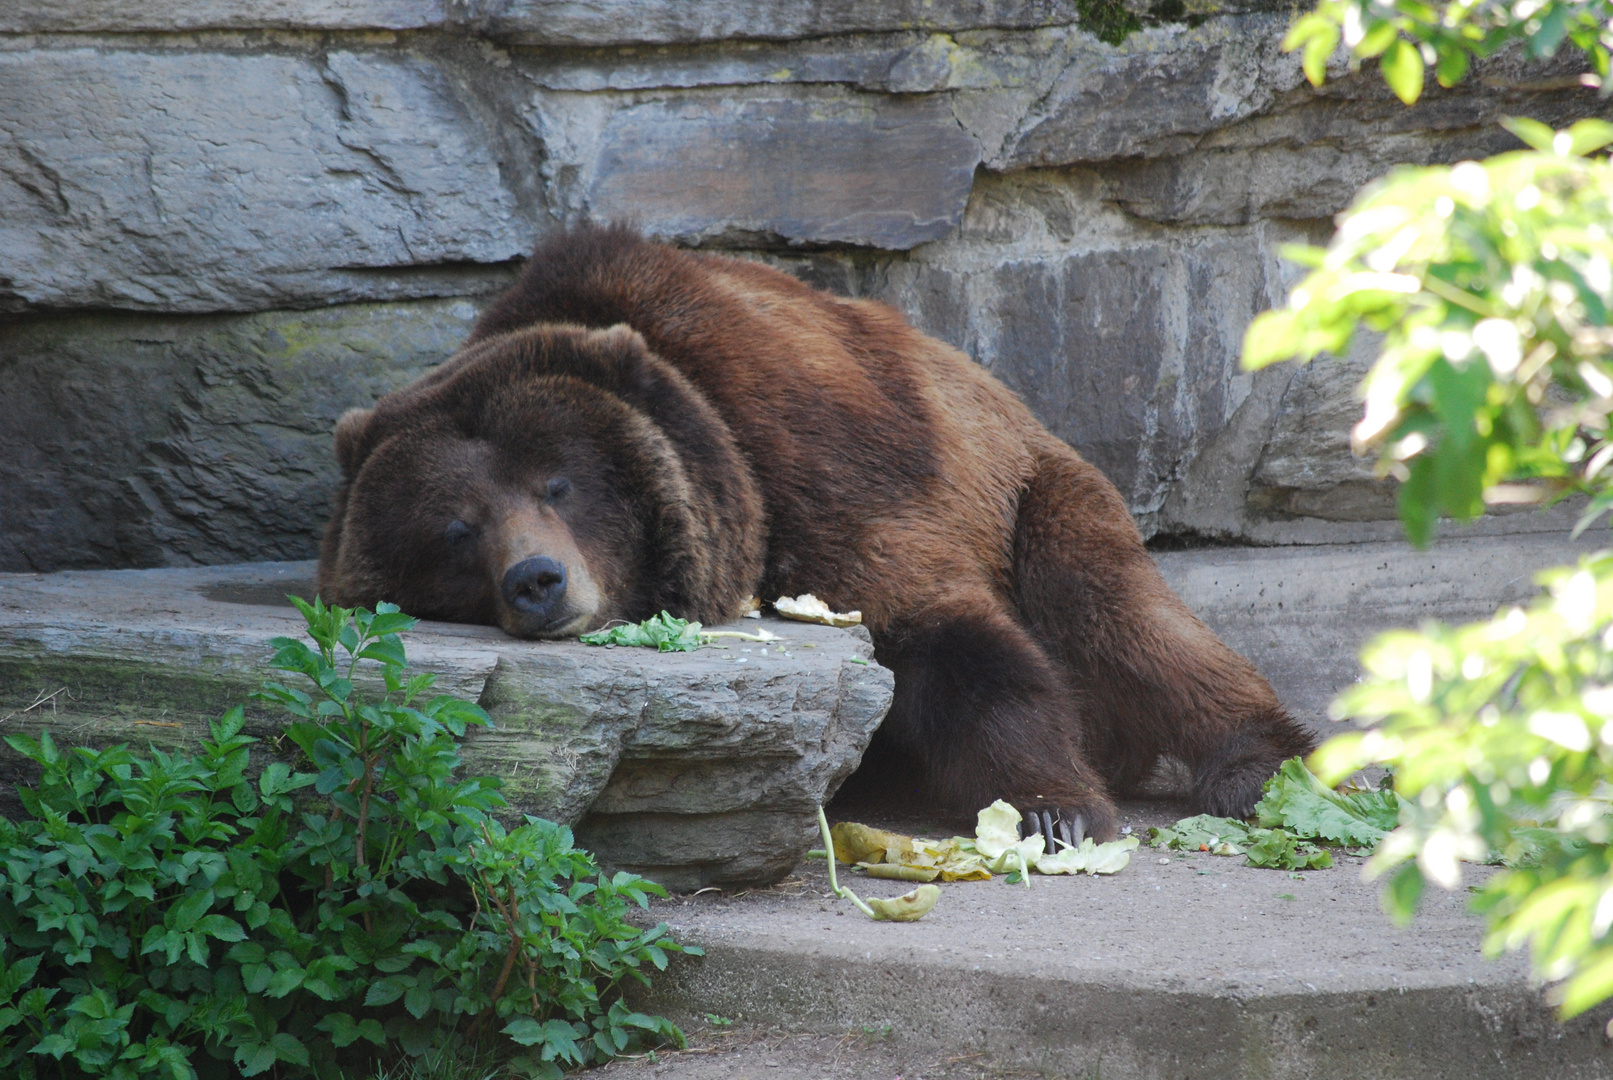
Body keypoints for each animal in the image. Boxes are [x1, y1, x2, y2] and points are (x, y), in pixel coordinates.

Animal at [320, 228, 1316, 851]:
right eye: (455, 529)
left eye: (557, 483)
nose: (536, 580)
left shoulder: (822, 469)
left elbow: (950, 640)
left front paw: (1054, 813)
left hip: (1035, 488)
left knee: (1116, 610)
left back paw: (1258, 765)